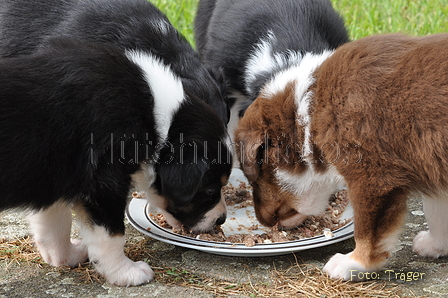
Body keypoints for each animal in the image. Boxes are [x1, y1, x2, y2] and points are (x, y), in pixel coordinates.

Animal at [0, 0, 231, 288]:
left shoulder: (56, 171)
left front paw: (64, 257)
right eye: (208, 190)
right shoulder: (101, 179)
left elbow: (52, 219)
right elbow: (109, 233)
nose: (222, 219)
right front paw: (126, 272)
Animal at [234, 33, 448, 280]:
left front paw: (353, 263)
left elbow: (366, 231)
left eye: (254, 177)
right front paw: (435, 245)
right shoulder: (433, 167)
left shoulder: (373, 178)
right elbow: (436, 211)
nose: (265, 222)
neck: (309, 111)